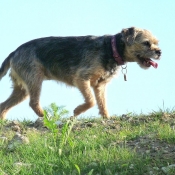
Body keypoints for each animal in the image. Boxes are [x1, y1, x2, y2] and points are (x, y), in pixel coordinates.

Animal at [0, 27, 161, 120]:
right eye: (146, 43)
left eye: (156, 43)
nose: (159, 52)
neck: (112, 48)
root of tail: (14, 52)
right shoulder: (81, 79)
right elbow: (91, 101)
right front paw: (78, 110)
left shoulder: (99, 86)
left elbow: (102, 103)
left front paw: (107, 118)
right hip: (34, 80)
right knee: (33, 102)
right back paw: (47, 117)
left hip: (22, 89)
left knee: (4, 105)